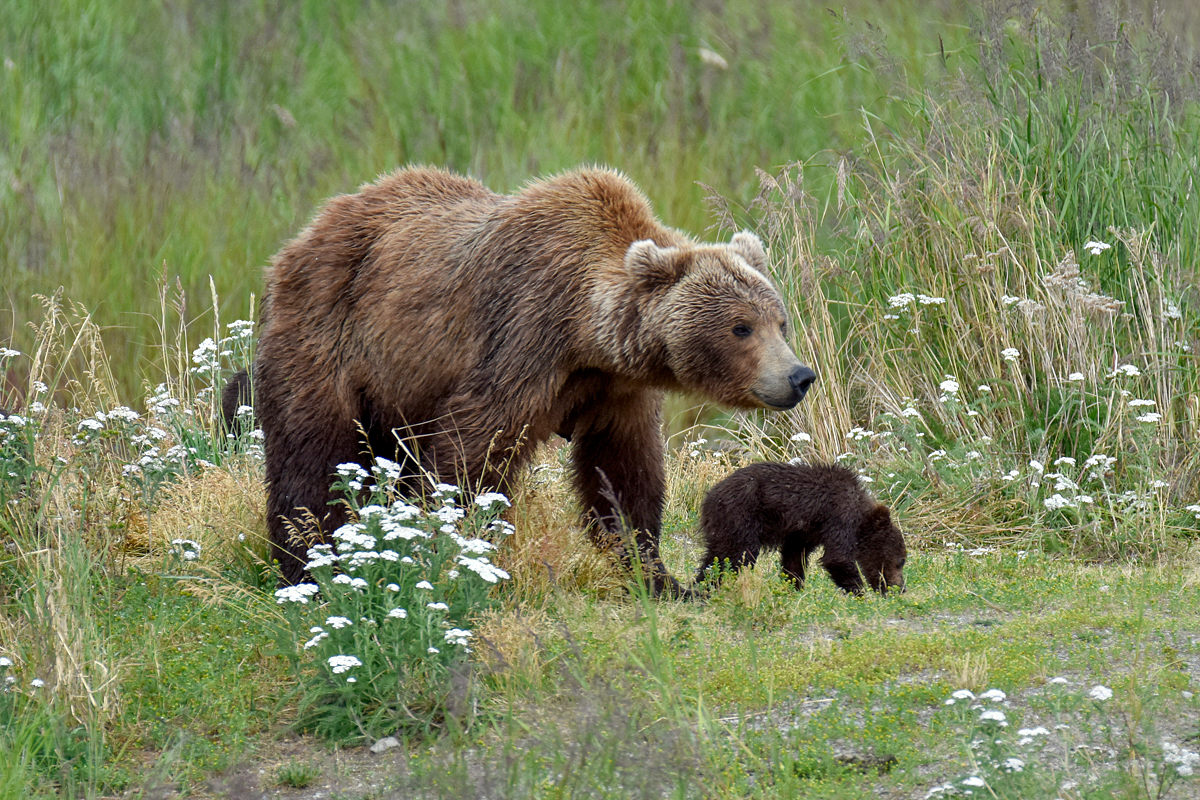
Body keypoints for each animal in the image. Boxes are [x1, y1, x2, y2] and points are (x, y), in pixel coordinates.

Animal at [234, 167, 816, 594]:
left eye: (780, 320)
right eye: (741, 326)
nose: (799, 375)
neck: (586, 336)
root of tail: (309, 231)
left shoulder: (615, 390)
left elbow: (623, 475)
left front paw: (658, 576)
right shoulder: (524, 337)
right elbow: (471, 456)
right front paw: (455, 552)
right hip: (330, 336)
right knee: (312, 459)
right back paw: (308, 568)